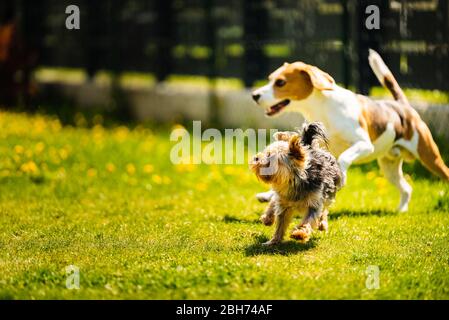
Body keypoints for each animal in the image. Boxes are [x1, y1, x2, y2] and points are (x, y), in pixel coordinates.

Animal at [252, 48, 448, 211]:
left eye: (280, 82)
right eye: (270, 79)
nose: (254, 95)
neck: (323, 108)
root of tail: (402, 106)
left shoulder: (364, 144)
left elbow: (344, 158)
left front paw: (342, 176)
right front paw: (269, 195)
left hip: (430, 157)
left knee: (443, 173)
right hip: (389, 167)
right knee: (406, 188)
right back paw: (401, 211)